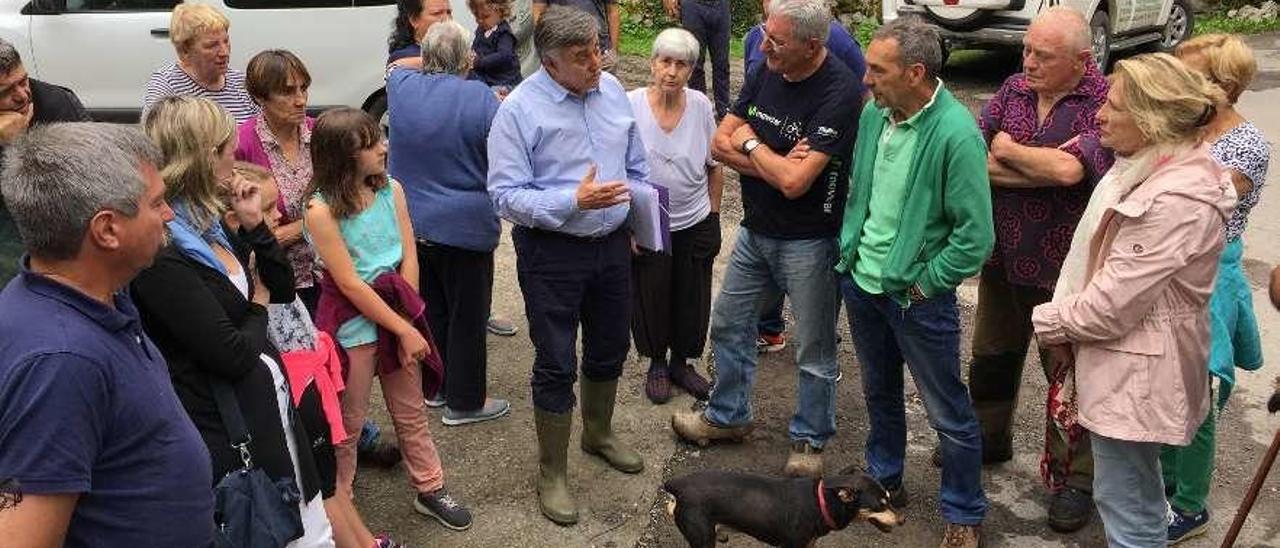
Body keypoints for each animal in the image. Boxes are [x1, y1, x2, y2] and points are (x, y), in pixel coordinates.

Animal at [665, 466, 906, 548]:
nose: (903, 520)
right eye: (880, 505)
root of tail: (677, 485)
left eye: (889, 498)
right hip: (702, 539)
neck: (820, 501)